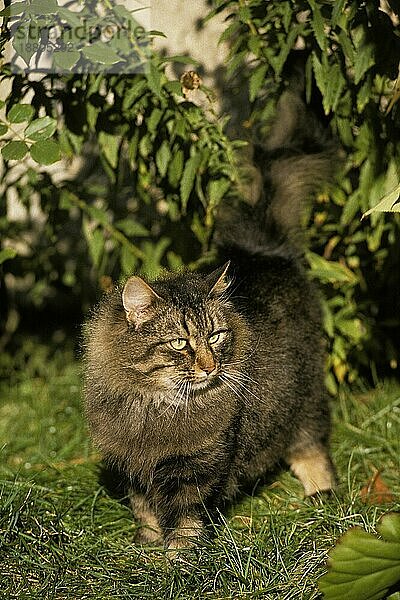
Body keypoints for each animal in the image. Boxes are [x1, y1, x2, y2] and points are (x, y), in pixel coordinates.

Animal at [84, 84, 338, 552]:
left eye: (217, 336)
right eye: (180, 343)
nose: (210, 366)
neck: (153, 407)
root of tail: (262, 250)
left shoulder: (197, 467)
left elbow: (184, 522)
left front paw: (179, 561)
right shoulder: (134, 468)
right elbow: (147, 514)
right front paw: (148, 553)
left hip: (305, 398)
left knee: (311, 451)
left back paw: (322, 499)